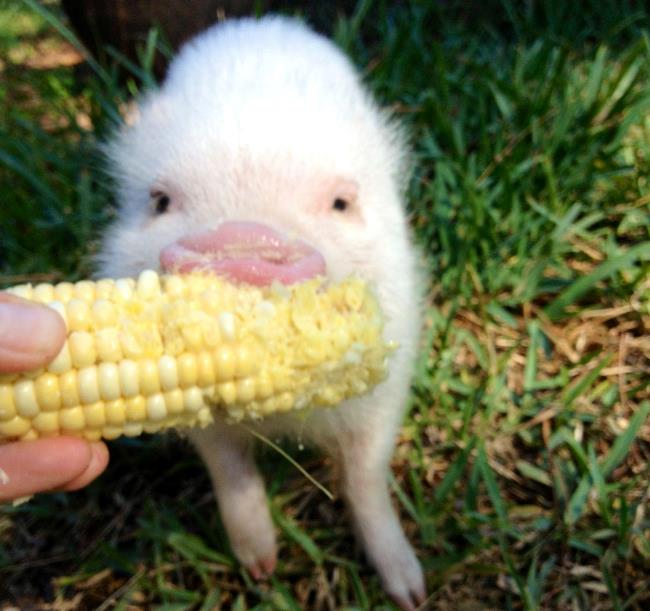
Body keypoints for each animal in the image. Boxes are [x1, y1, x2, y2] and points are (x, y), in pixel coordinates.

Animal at [97, 16, 426, 610]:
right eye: (159, 201)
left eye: (341, 203)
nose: (240, 243)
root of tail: (264, 24)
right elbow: (230, 470)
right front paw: (261, 571)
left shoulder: (391, 372)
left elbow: (364, 476)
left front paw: (411, 591)